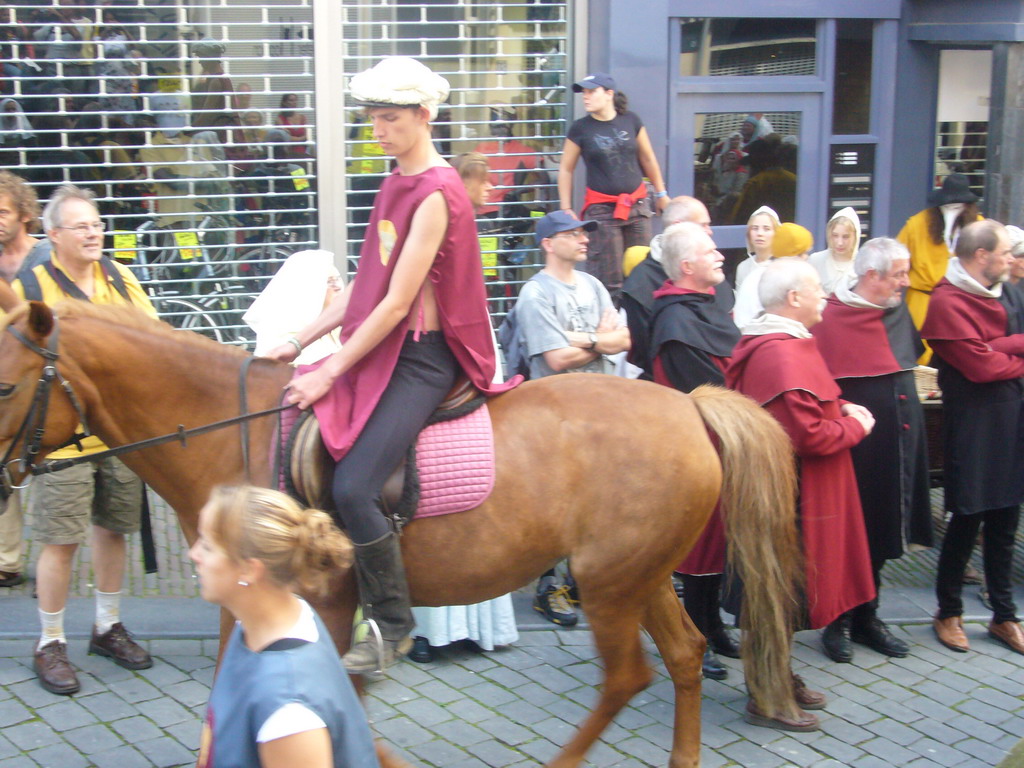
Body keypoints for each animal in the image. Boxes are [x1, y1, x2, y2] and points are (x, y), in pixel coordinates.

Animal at [0, 290, 798, 768]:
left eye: (6, 383)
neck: (234, 431)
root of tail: (687, 405)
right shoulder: (255, 606)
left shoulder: (324, 604)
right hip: (640, 575)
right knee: (685, 655)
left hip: (609, 583)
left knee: (631, 674)